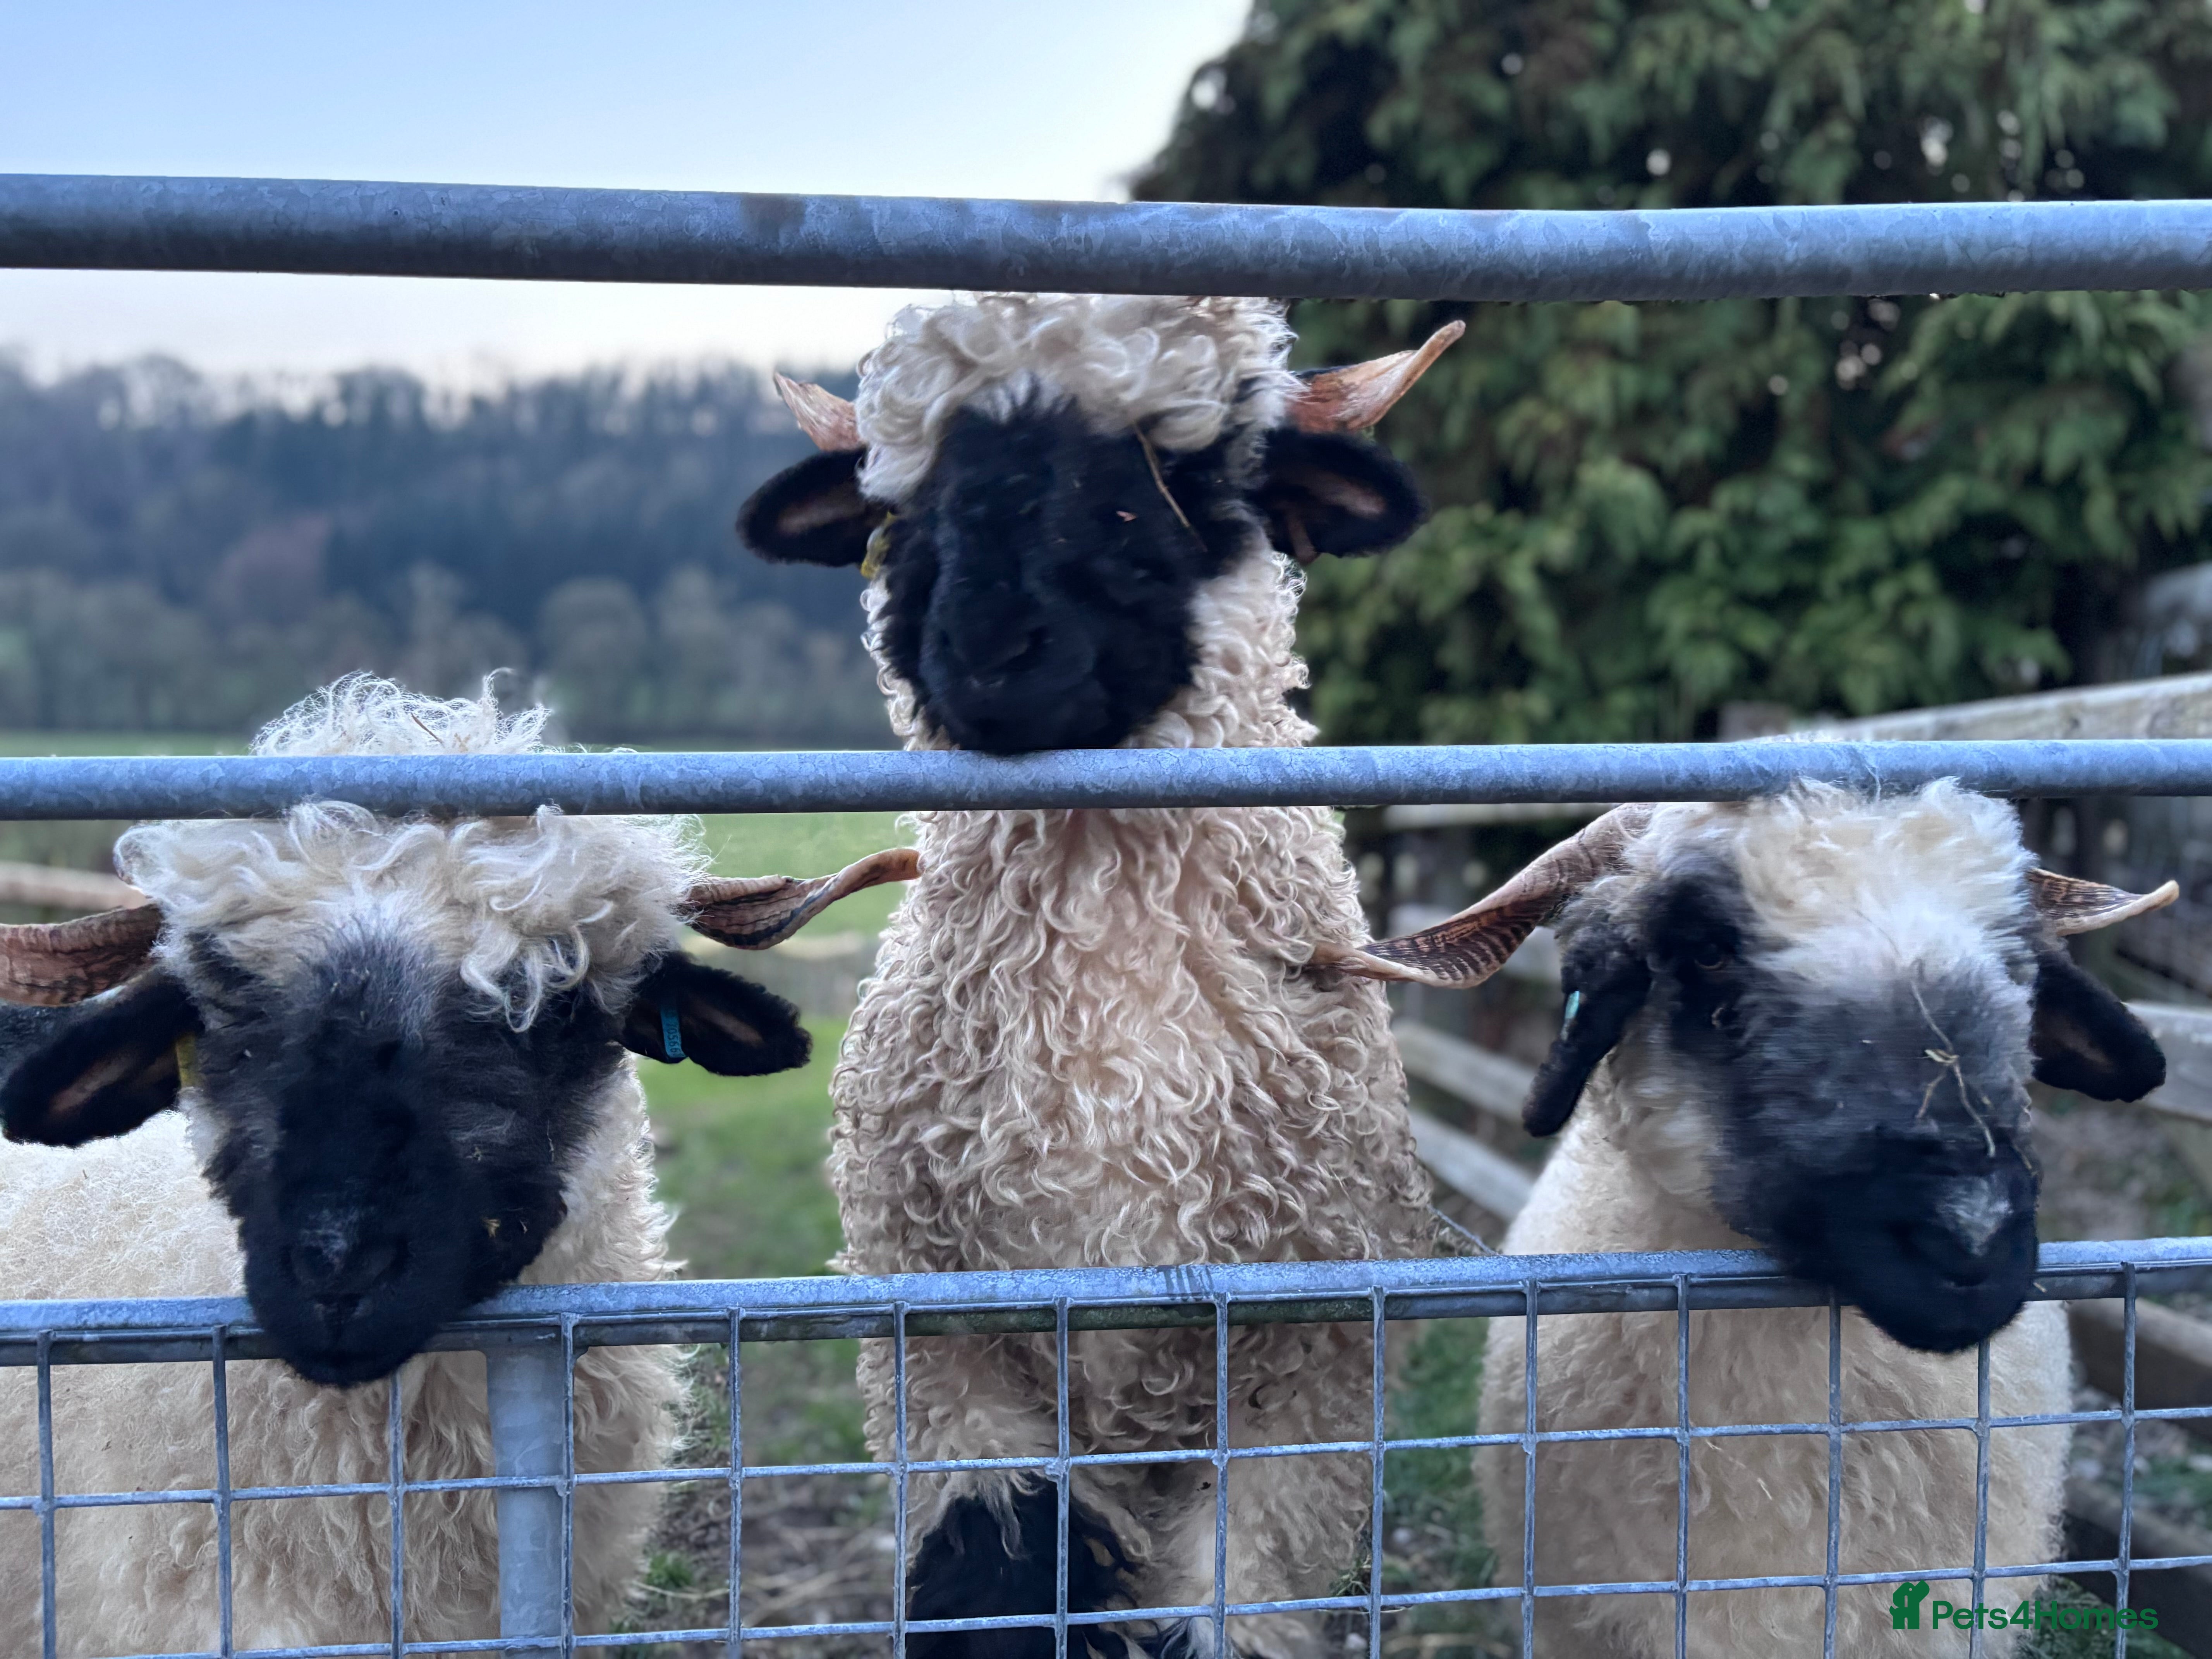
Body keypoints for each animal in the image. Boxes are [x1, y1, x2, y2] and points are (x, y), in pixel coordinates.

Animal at [737, 294, 1461, 1658]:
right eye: (903, 505)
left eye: (1173, 480)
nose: (988, 645)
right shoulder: (948, 1350)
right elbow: (999, 1577)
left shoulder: (1304, 1367)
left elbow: (1235, 1604)